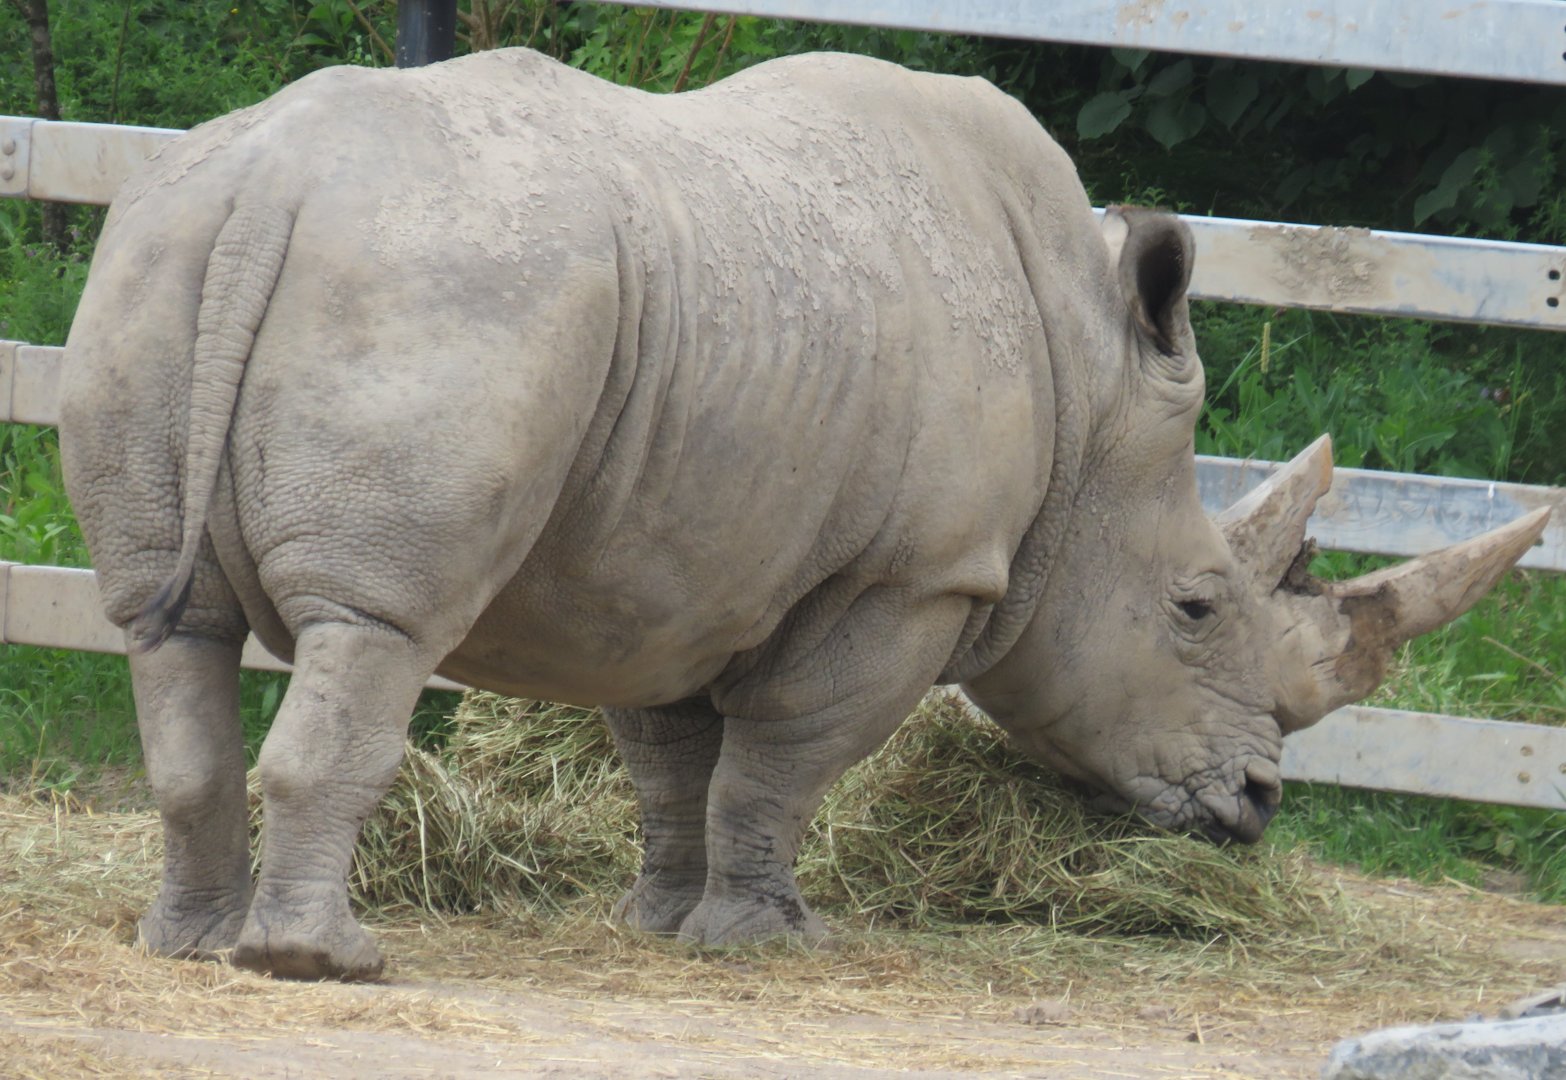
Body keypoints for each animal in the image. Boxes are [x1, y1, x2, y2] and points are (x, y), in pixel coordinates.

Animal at [59, 48, 1546, 981]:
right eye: (1193, 608)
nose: (1255, 803)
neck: (1089, 402)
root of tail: (272, 189)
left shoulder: (667, 557)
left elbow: (671, 755)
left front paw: (659, 923)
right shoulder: (918, 575)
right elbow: (783, 752)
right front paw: (769, 941)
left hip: (159, 251)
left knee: (167, 625)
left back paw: (191, 946)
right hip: (442, 282)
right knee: (375, 623)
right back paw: (323, 964)